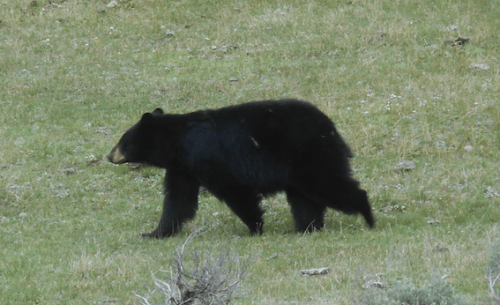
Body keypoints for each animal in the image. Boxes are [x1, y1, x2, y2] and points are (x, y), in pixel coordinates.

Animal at [109, 98, 376, 236]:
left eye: (122, 141)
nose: (110, 155)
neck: (178, 141)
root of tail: (331, 127)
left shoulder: (208, 159)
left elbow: (236, 192)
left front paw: (255, 227)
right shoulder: (183, 168)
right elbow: (178, 201)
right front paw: (156, 232)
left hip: (309, 155)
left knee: (329, 185)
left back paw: (368, 217)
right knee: (305, 199)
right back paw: (306, 228)